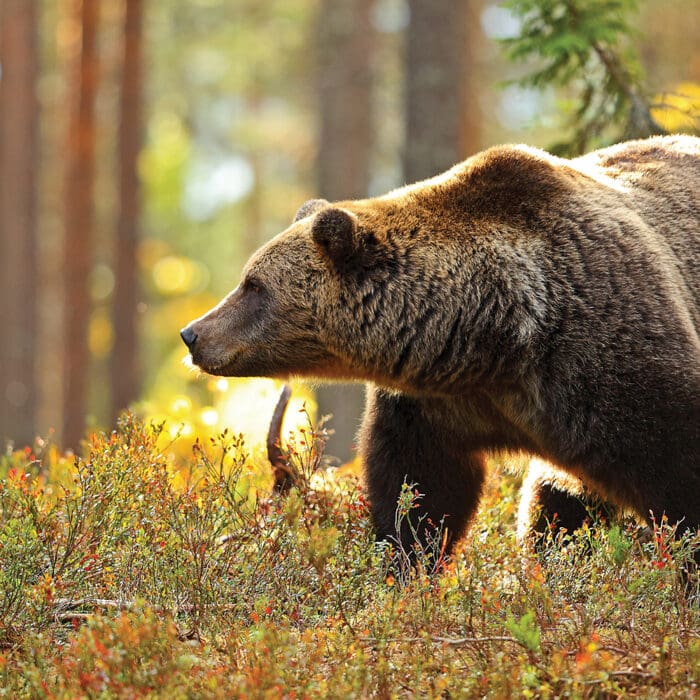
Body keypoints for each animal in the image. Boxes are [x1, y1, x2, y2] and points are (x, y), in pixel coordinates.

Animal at [181, 135, 700, 571]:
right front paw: (405, 566)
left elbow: (677, 464)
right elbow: (422, 490)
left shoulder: (606, 354)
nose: (192, 334)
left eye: (253, 284)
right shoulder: (437, 404)